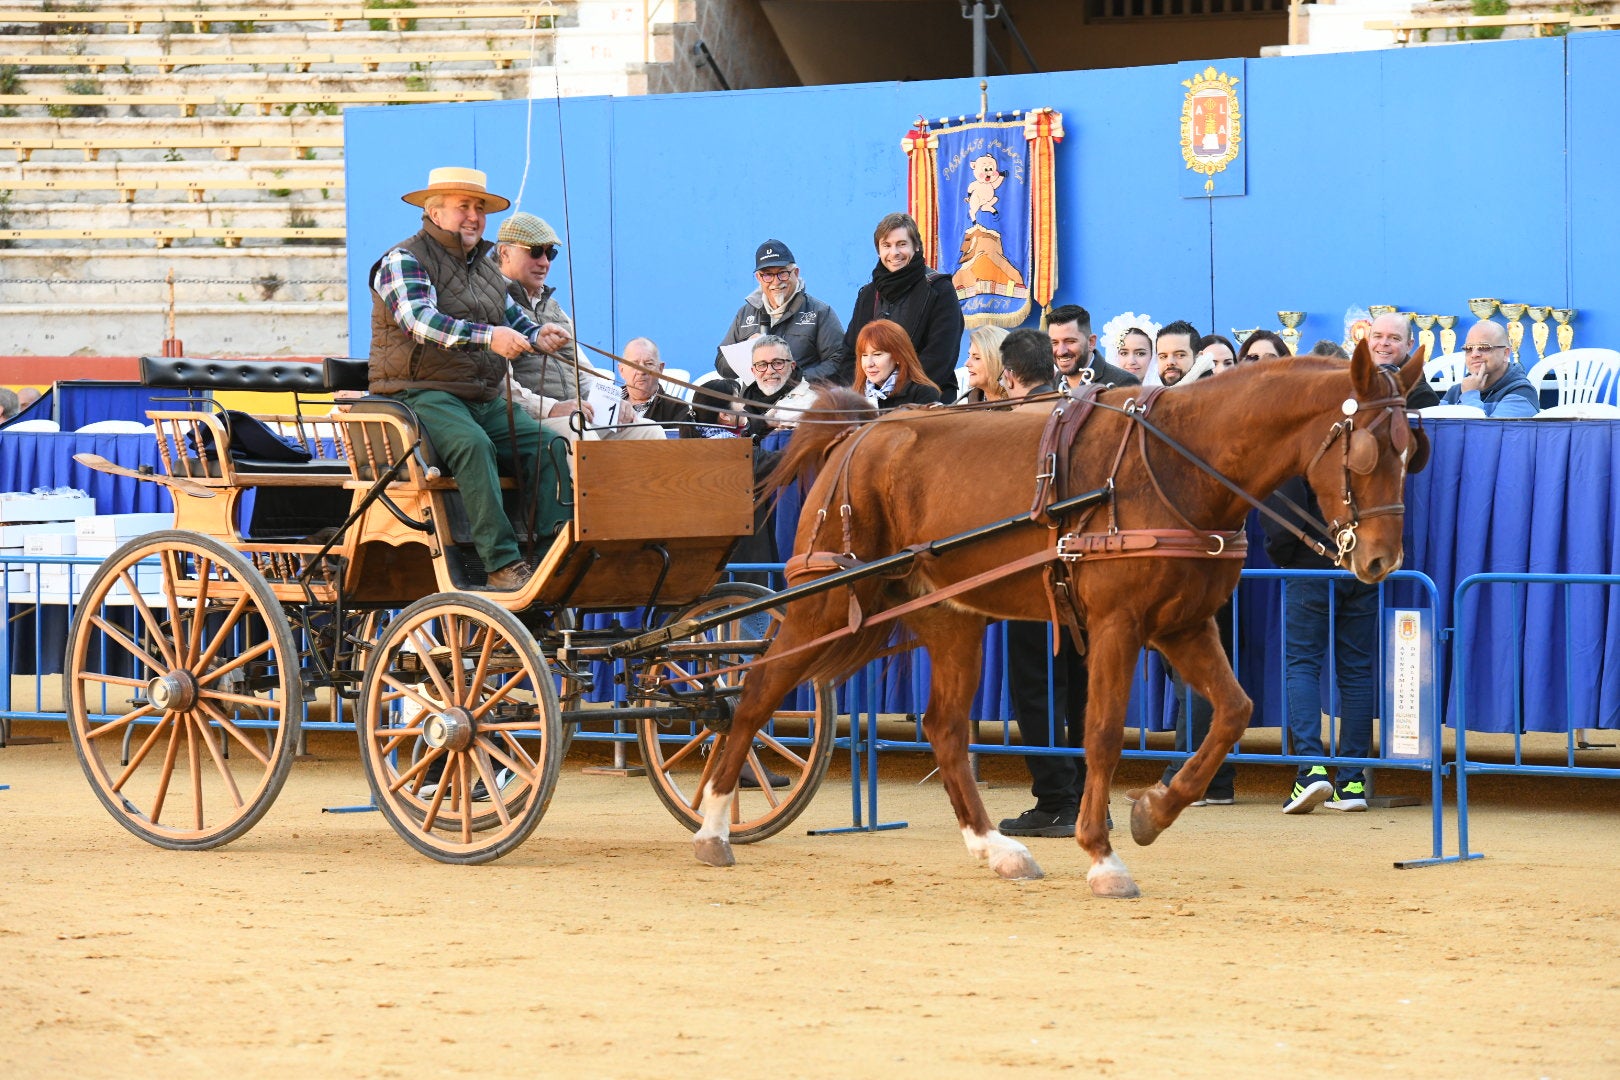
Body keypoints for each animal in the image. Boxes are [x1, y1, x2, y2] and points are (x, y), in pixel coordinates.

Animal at [690, 344, 1425, 893]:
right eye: (1366, 453)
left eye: (1411, 451)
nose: (1383, 558)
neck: (1178, 461)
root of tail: (856, 433)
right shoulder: (1118, 626)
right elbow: (1100, 734)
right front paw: (1102, 854)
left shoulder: (1183, 625)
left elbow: (1234, 711)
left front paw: (1154, 810)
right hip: (820, 599)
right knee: (755, 691)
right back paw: (714, 826)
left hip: (951, 616)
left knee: (945, 728)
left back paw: (997, 848)